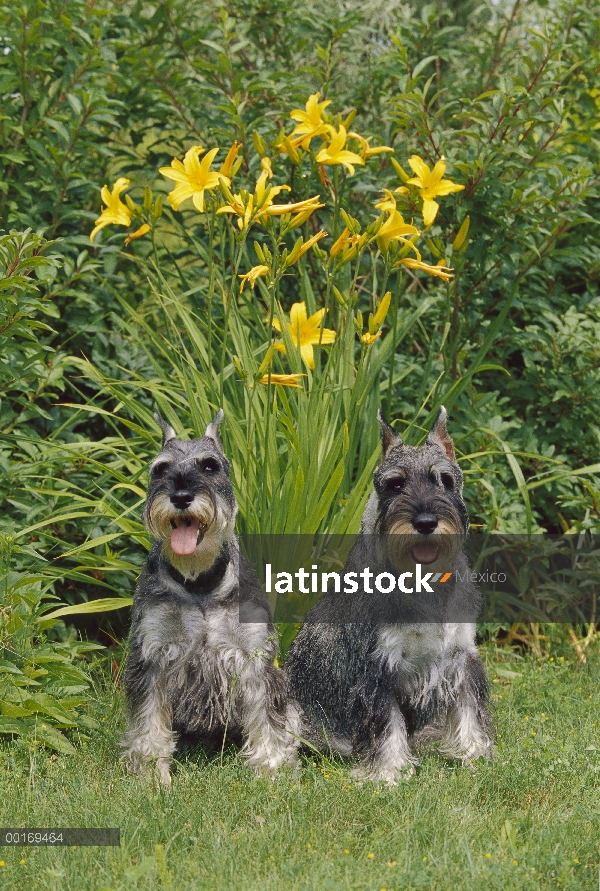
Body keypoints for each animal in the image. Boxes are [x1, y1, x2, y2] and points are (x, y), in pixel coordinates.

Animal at [122, 412, 300, 788]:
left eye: (209, 466)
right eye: (160, 469)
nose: (181, 495)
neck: (200, 582)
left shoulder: (255, 659)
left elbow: (268, 722)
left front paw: (271, 772)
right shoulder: (153, 655)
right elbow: (148, 724)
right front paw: (151, 775)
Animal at [284, 408, 492, 784]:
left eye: (444, 480)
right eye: (396, 483)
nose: (425, 521)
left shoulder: (461, 657)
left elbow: (469, 711)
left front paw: (474, 756)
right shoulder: (380, 668)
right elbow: (387, 724)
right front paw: (389, 773)